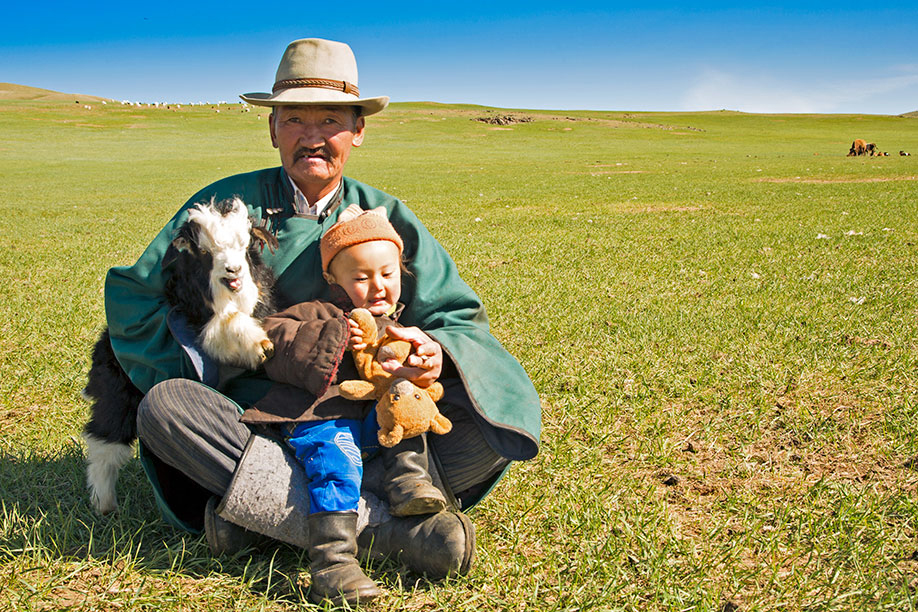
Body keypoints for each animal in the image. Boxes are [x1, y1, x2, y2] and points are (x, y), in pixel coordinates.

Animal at [82, 197, 277, 515]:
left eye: (245, 244)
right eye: (204, 251)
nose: (233, 271)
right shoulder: (194, 320)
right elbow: (226, 322)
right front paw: (259, 345)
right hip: (119, 394)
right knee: (105, 440)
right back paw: (104, 504)